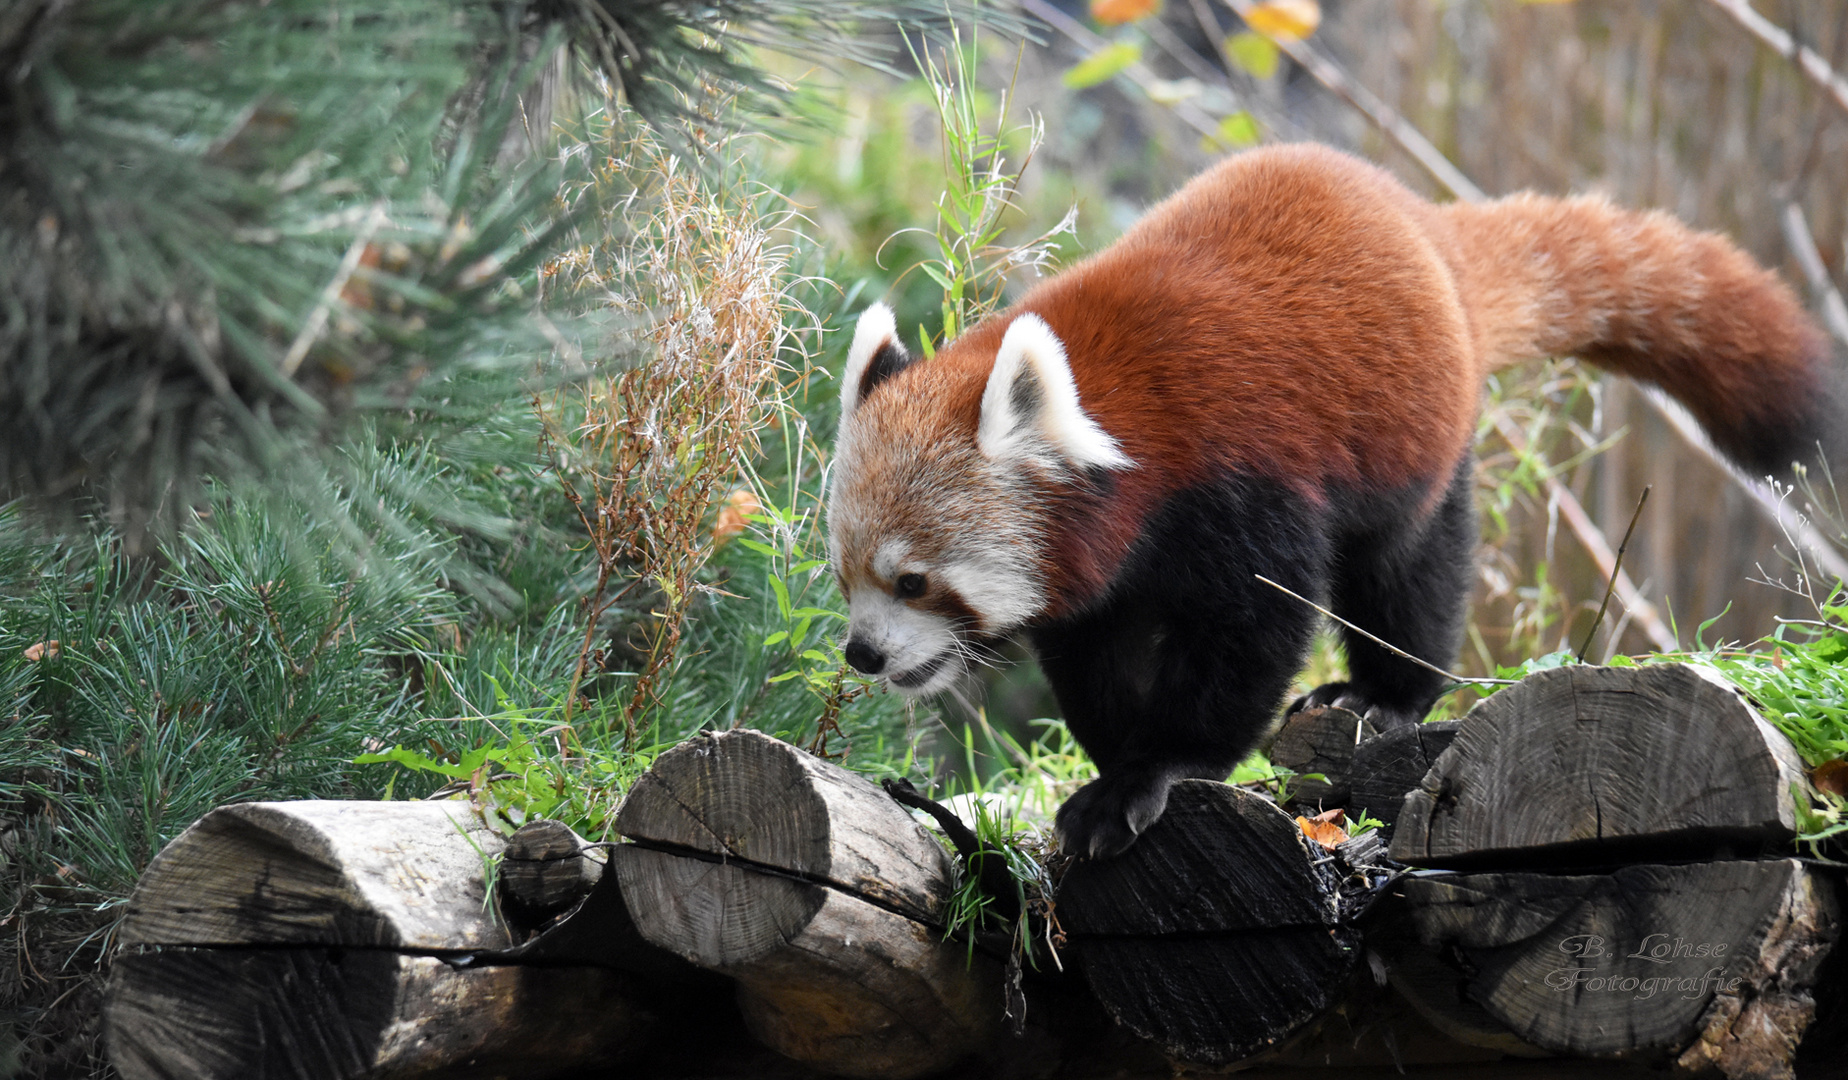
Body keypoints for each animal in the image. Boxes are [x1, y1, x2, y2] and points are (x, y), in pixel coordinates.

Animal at [831, 143, 1840, 858]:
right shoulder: (1105, 568)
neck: (1118, 414)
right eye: (845, 580)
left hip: (1415, 442)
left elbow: (1251, 636)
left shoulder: (1242, 481)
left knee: (1408, 574)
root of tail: (1423, 224)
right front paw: (1115, 760)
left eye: (914, 581)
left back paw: (1386, 694)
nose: (862, 654)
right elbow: (1097, 656)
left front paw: (1152, 773)